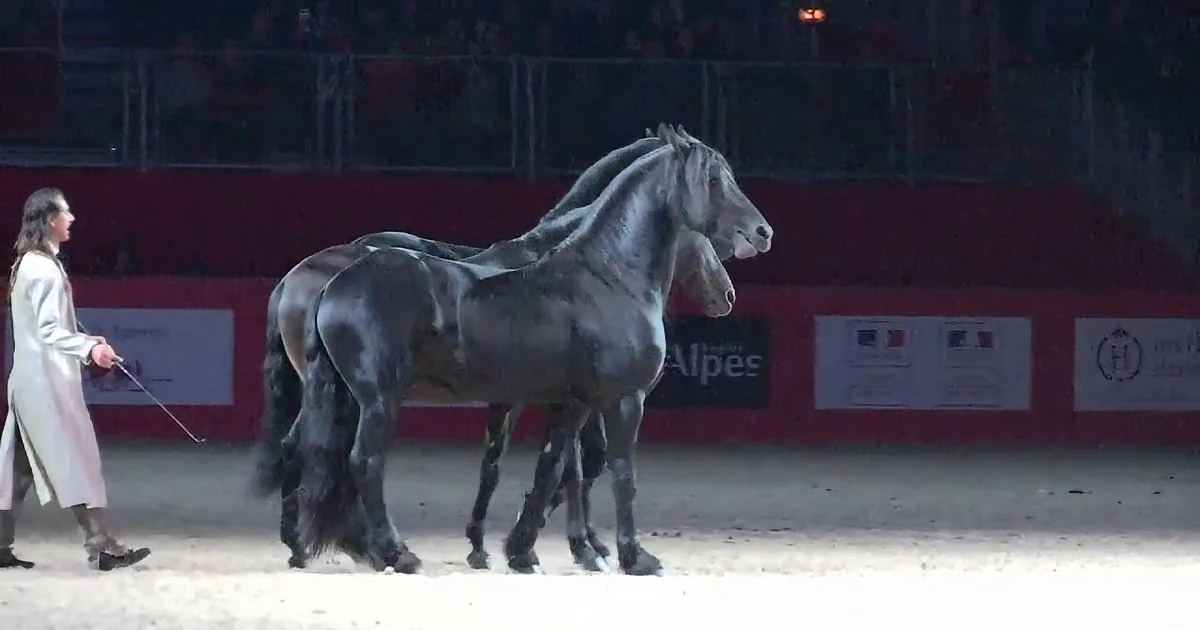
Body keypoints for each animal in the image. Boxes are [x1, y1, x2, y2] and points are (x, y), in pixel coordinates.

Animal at [252, 131, 761, 572]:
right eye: (713, 180)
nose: (762, 233)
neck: (605, 278)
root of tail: (330, 281)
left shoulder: (570, 403)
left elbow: (552, 468)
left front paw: (523, 550)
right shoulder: (621, 400)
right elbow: (618, 474)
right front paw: (632, 558)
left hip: (341, 397)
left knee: (313, 455)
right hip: (377, 399)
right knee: (363, 463)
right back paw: (395, 553)